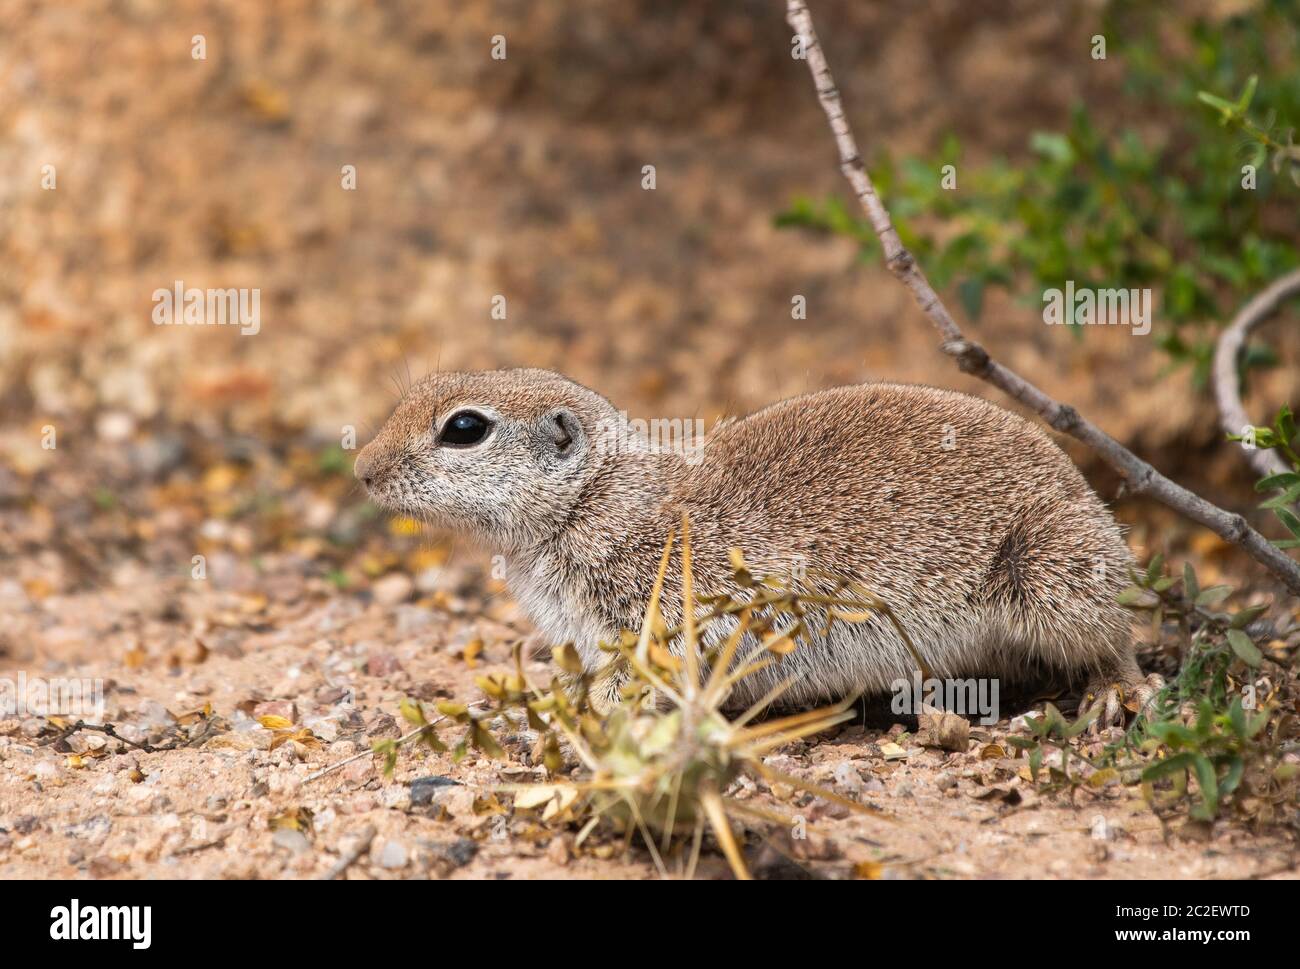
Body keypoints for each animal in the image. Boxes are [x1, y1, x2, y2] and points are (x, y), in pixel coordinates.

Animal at [356, 367, 1160, 726]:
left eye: (465, 428)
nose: (361, 469)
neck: (595, 499)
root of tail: (1077, 485)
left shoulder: (658, 616)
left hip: (1051, 572)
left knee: (1114, 636)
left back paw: (1115, 694)